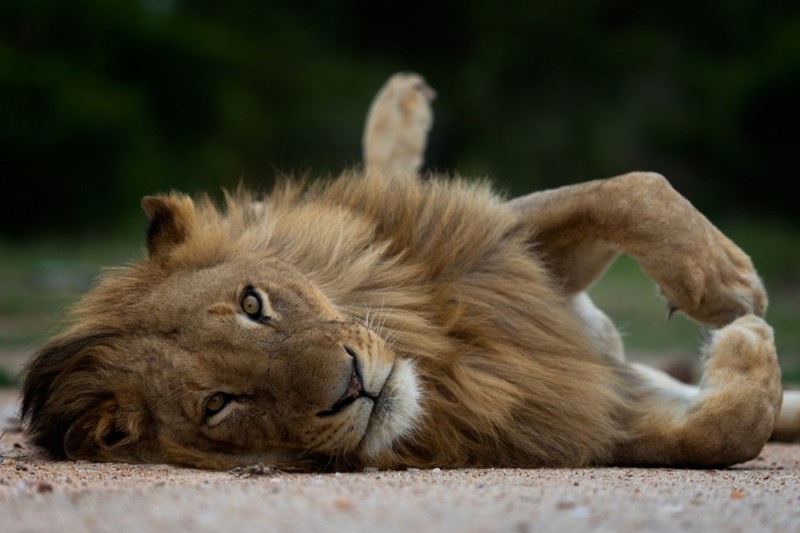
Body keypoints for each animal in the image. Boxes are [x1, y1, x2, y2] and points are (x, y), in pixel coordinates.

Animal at [21, 69, 796, 470]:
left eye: (253, 304)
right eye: (219, 404)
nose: (354, 387)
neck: (445, 359)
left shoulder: (510, 253)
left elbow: (636, 187)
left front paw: (727, 284)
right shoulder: (588, 425)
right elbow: (726, 431)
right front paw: (748, 345)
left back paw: (402, 102)